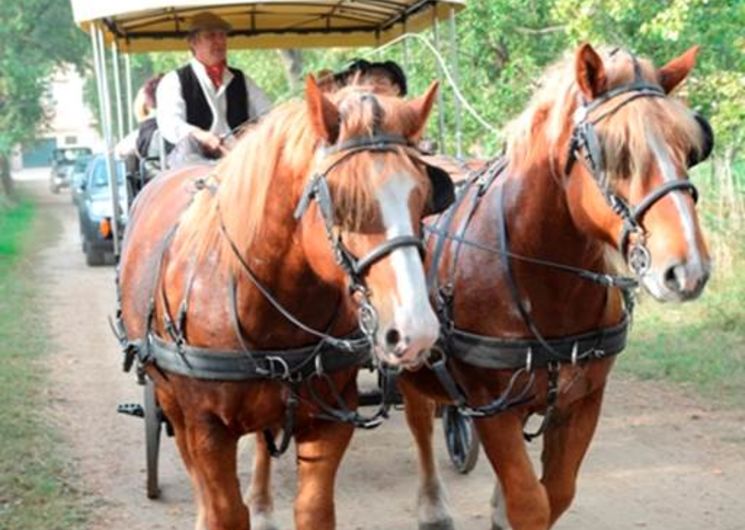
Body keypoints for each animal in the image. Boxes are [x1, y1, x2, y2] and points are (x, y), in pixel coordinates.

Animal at [116, 75, 454, 528]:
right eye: (340, 200)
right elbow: (225, 511)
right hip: (172, 402)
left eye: (424, 195)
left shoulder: (328, 419)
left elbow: (313, 510)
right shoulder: (206, 428)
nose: (415, 331)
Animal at [396, 42, 716, 528]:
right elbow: (530, 501)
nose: (688, 269)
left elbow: (556, 493)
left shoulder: (582, 401)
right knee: (417, 420)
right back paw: (433, 507)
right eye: (613, 151)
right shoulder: (491, 405)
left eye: (691, 148)